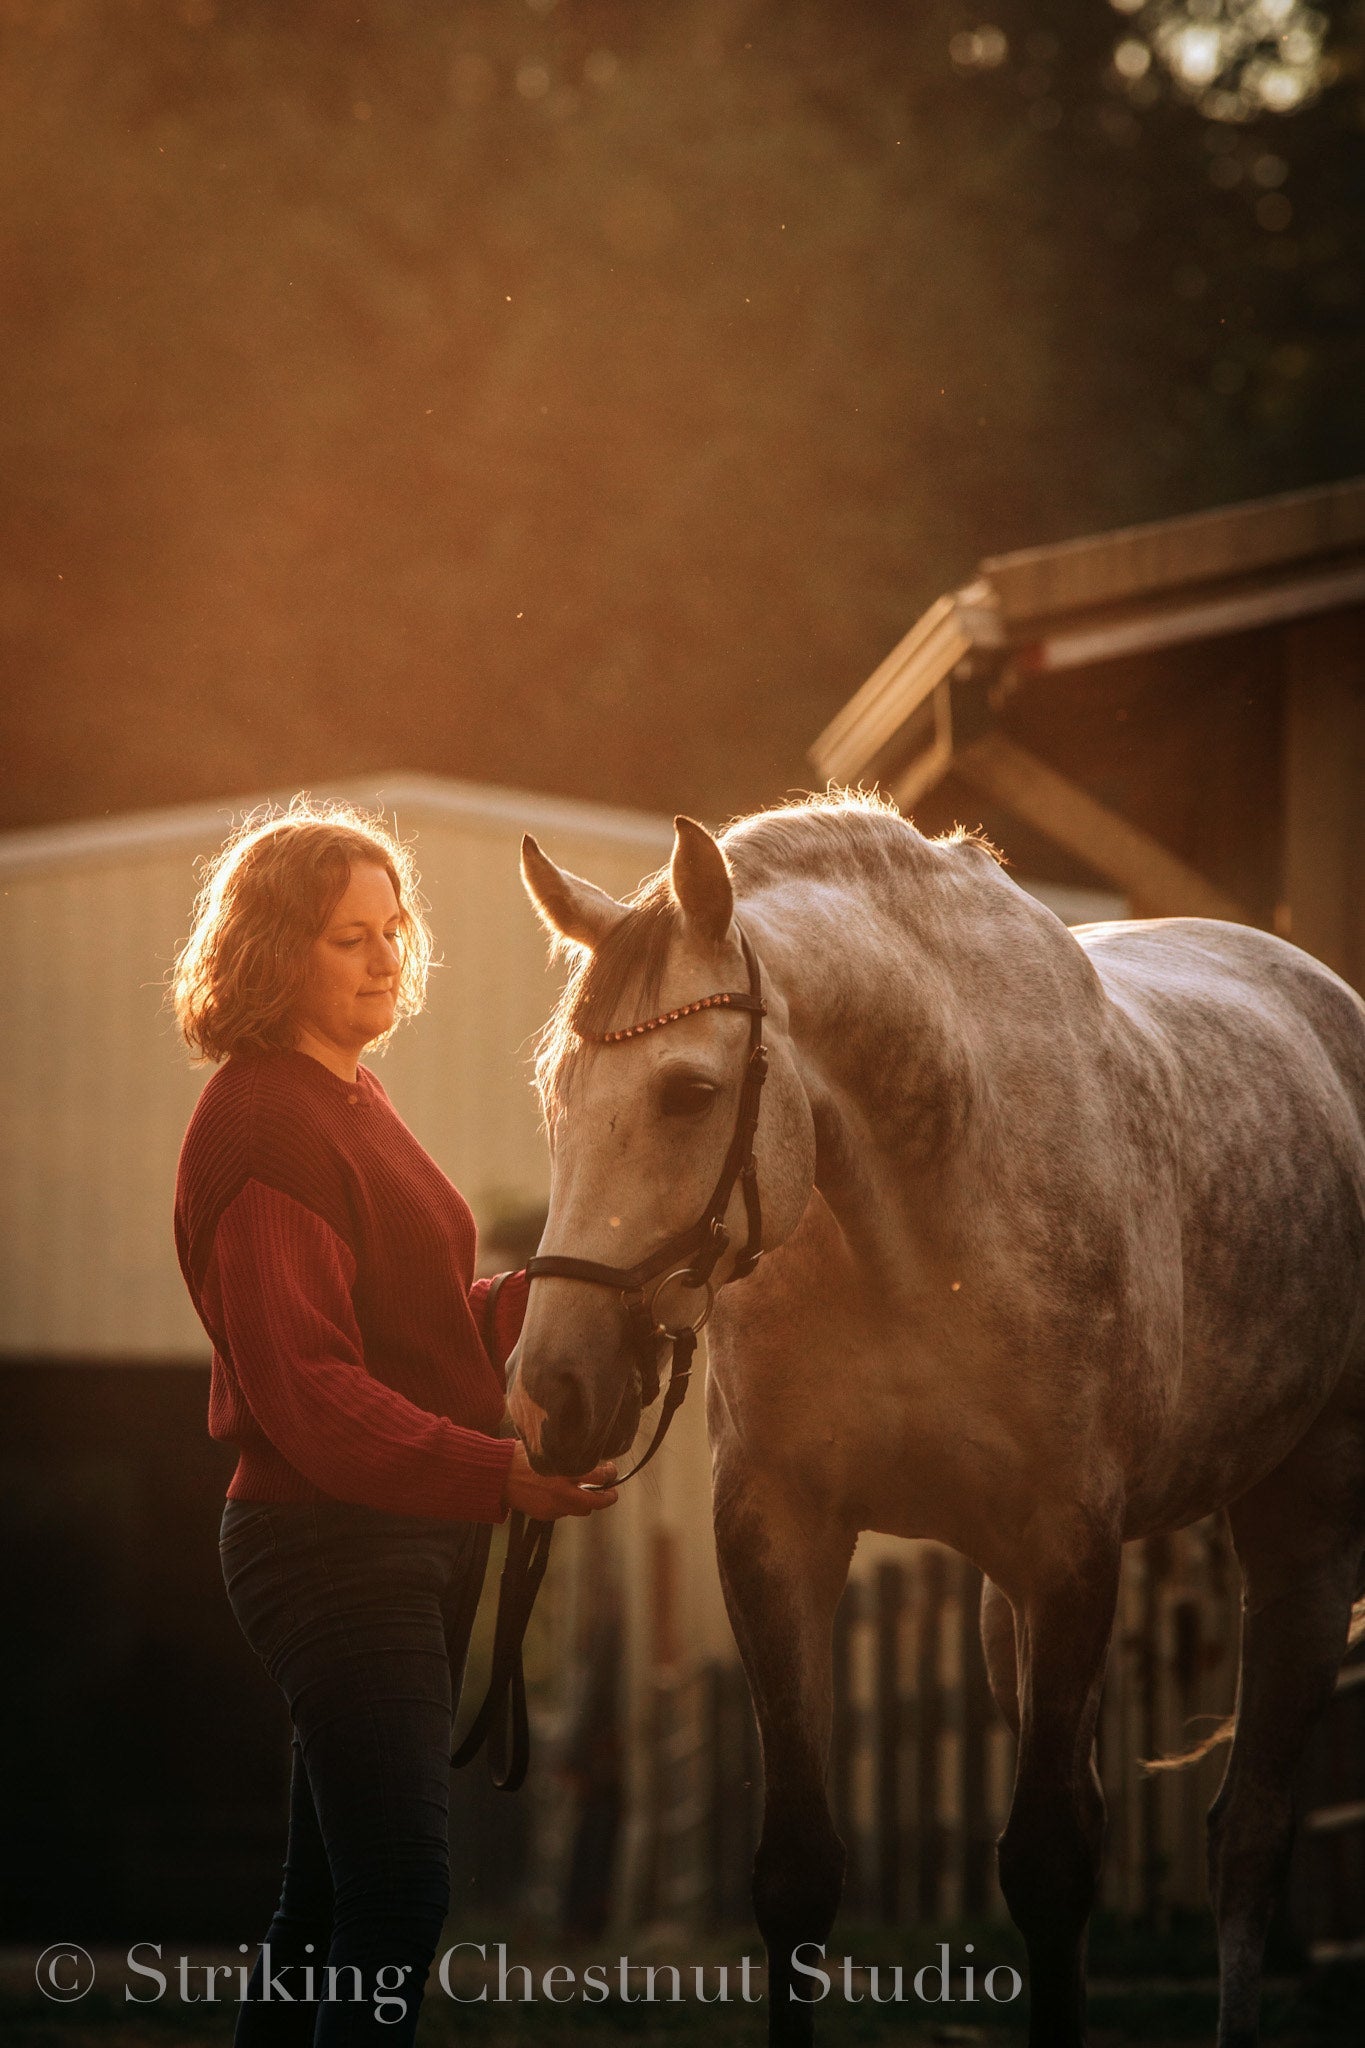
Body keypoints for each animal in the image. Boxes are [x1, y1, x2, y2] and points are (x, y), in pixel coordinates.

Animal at [505, 786, 1365, 2048]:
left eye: (690, 1092)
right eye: (555, 1096)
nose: (554, 1386)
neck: (925, 1198)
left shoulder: (1071, 1542)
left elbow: (1051, 1862)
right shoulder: (779, 1530)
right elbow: (798, 1870)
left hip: (1302, 1534)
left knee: (1246, 1829)